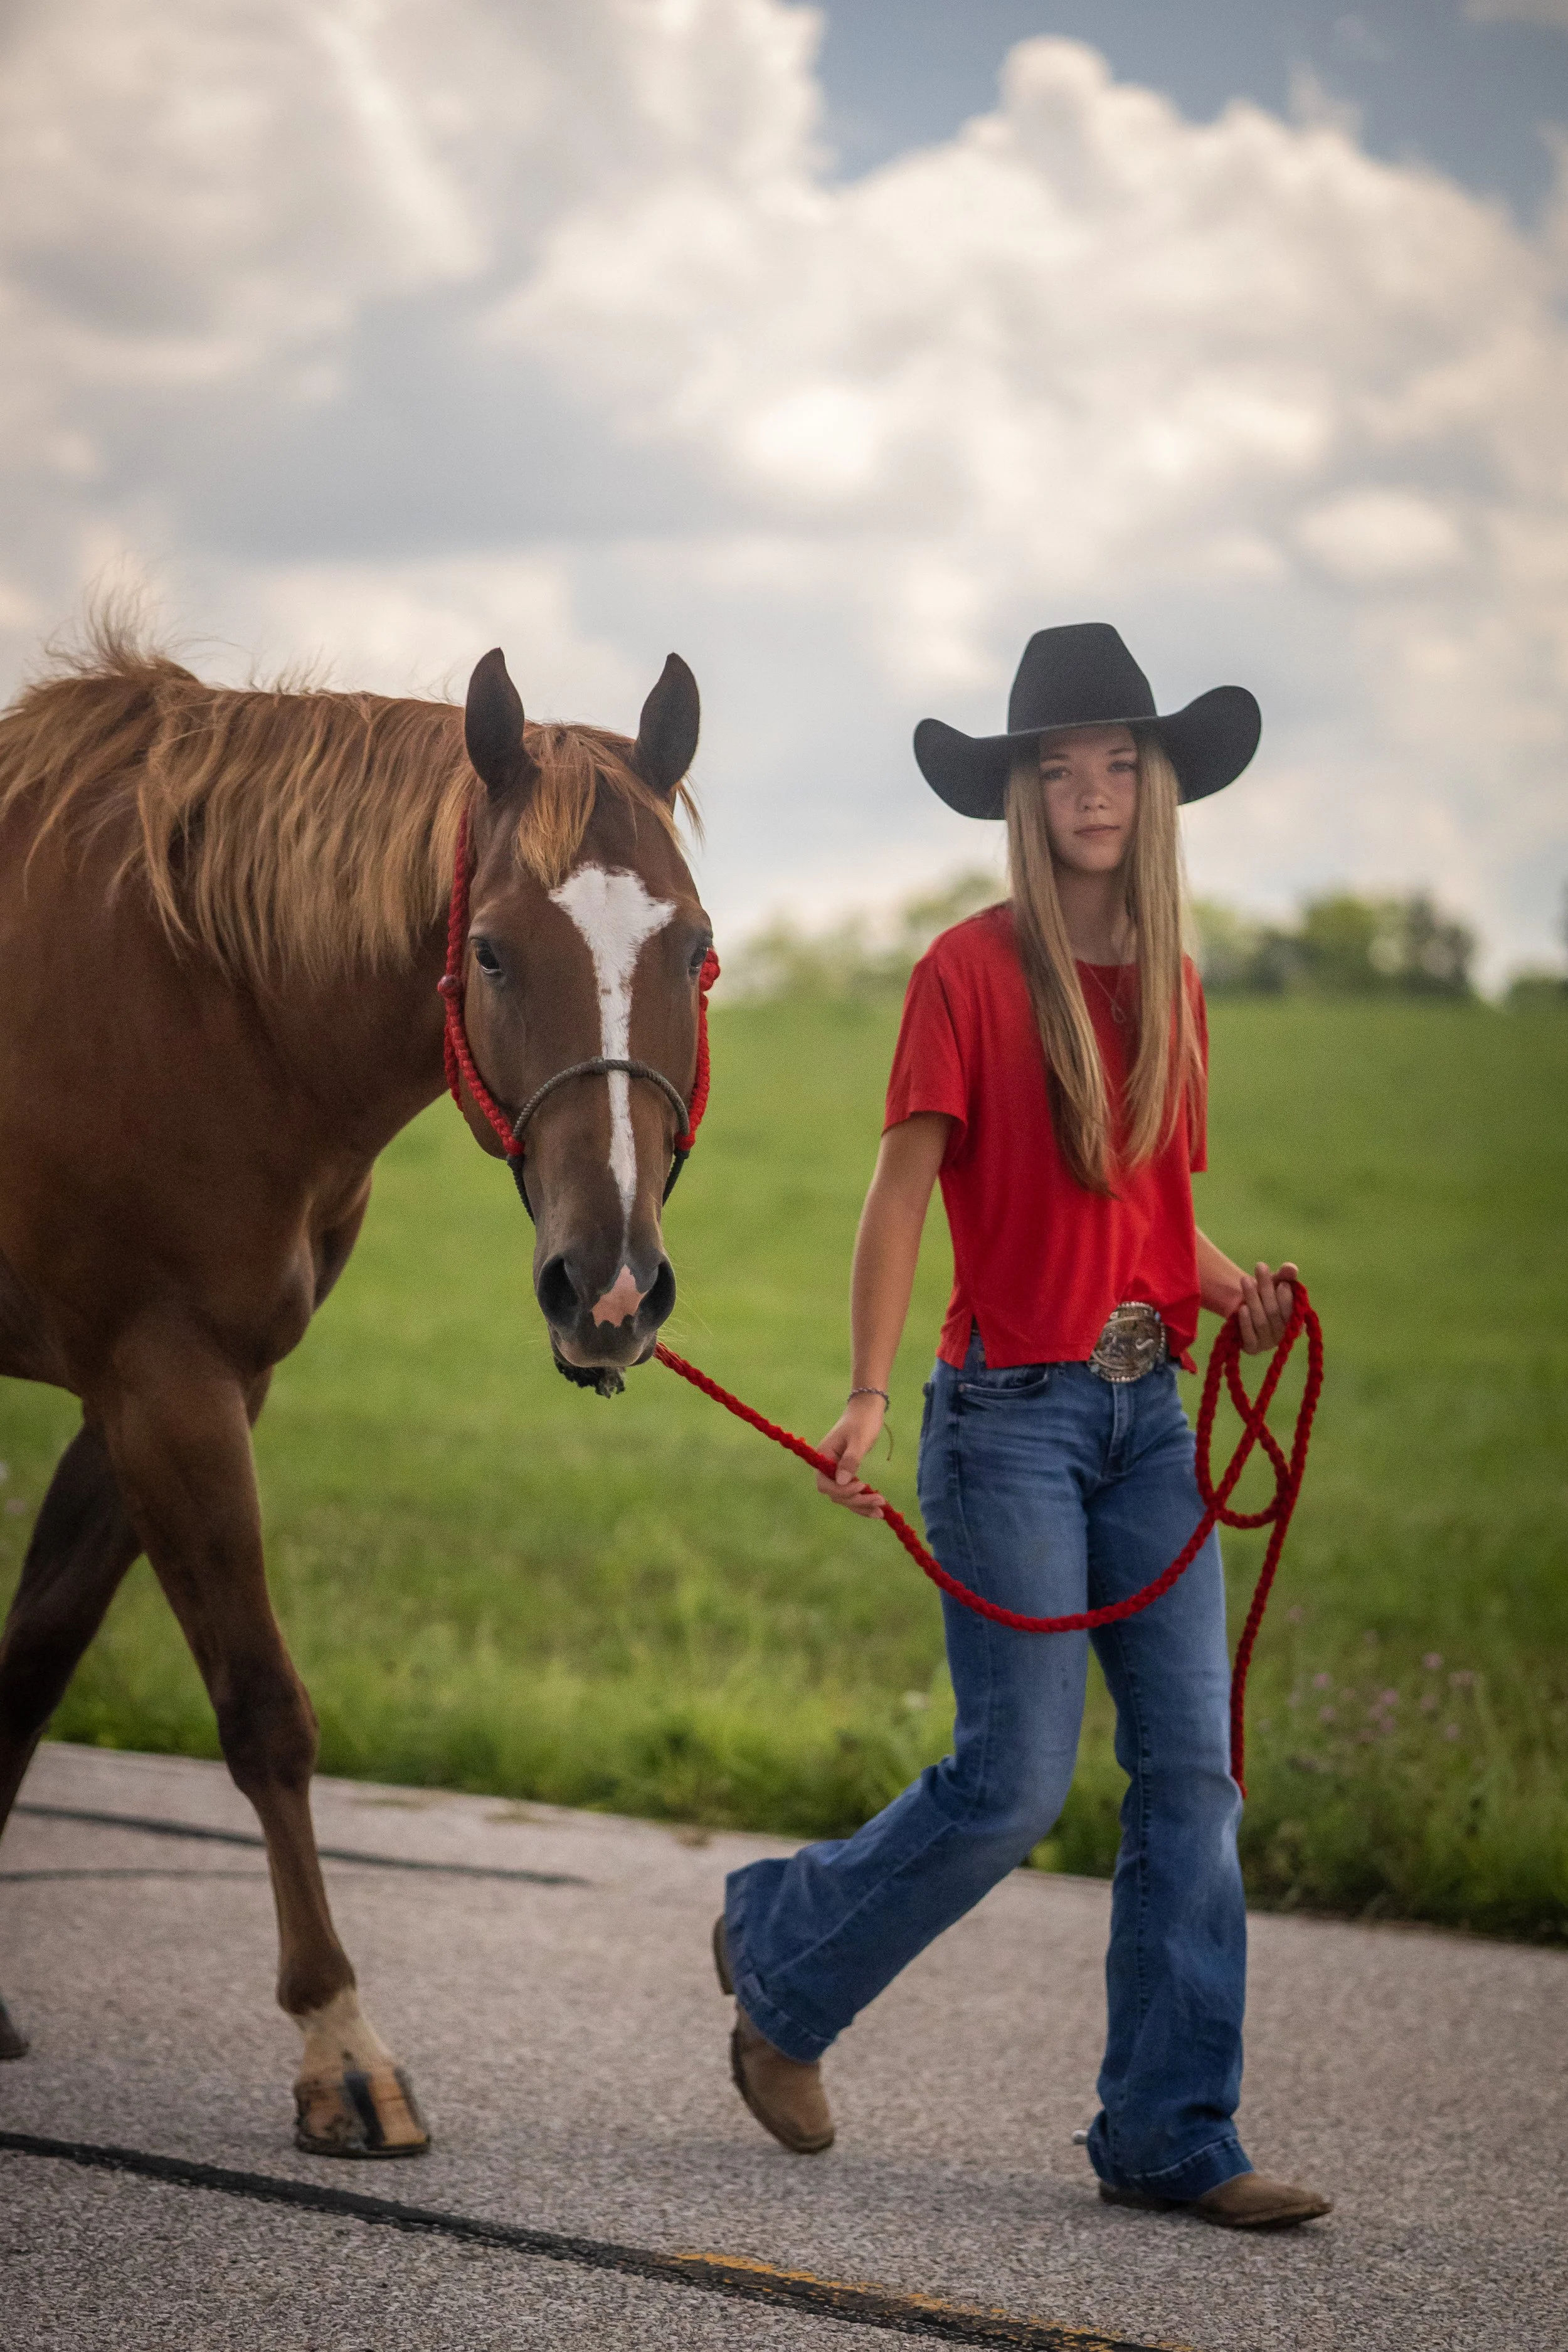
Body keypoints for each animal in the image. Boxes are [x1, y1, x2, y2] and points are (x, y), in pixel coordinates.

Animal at [0, 625, 710, 2154]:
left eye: (691, 949)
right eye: (491, 949)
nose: (610, 1284)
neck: (200, 989)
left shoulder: (170, 1390)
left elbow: (32, 1662)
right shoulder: (163, 1383)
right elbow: (263, 1708)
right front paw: (340, 2043)